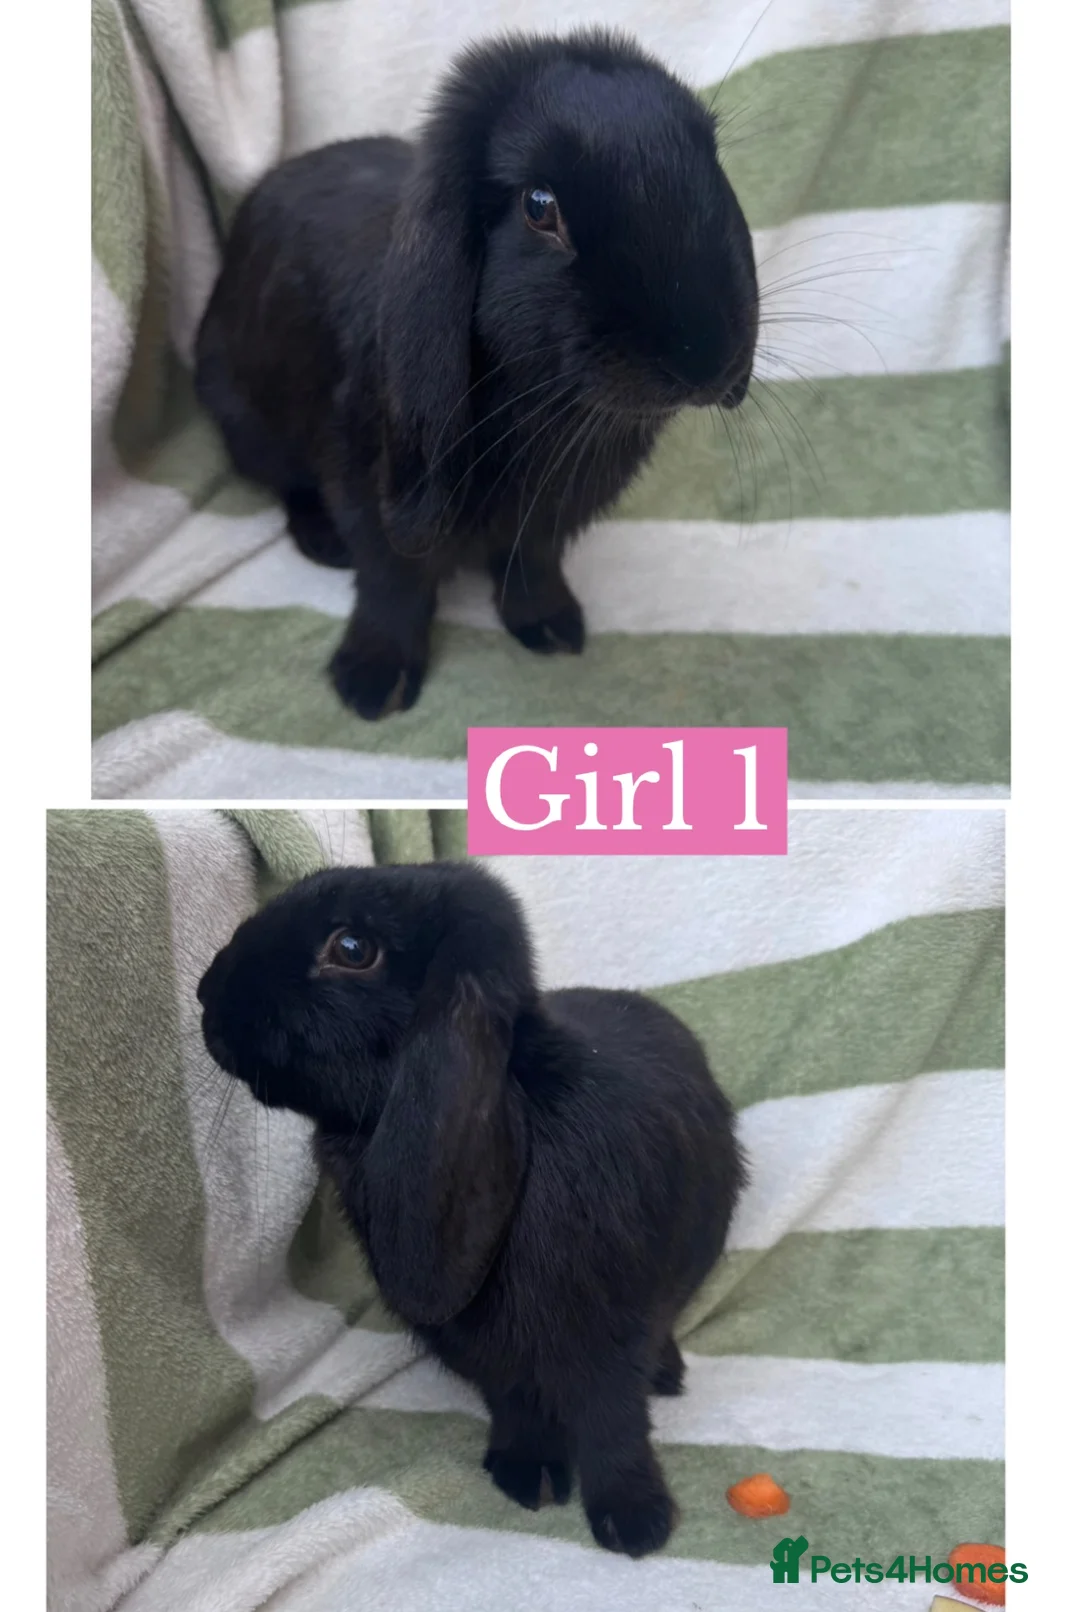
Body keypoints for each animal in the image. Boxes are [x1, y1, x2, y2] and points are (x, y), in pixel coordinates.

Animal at [194, 28, 759, 720]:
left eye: (711, 163)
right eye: (539, 206)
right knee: (289, 485)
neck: (549, 407)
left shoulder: (547, 520)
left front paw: (552, 629)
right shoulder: (370, 489)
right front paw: (373, 683)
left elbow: (532, 566)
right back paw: (323, 542)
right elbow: (392, 584)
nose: (702, 358)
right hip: (250, 424)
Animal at [197, 860, 747, 1558]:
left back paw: (668, 1378)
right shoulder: (490, 1359)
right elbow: (516, 1408)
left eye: (353, 949)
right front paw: (524, 1476)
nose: (206, 995)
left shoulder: (608, 1336)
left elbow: (612, 1423)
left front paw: (634, 1521)